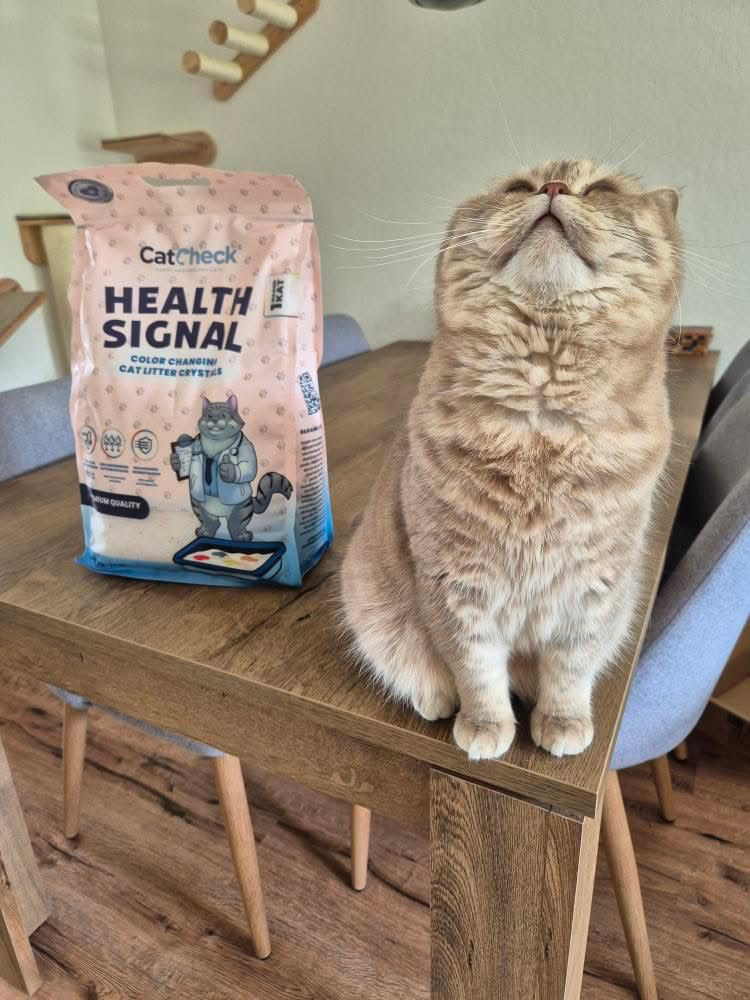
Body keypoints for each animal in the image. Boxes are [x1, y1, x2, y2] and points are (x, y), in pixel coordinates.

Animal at [170, 395, 293, 541]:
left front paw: (228, 471)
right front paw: (176, 460)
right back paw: (205, 531)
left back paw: (241, 536)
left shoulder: (247, 447)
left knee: (235, 524)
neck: (216, 442)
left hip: (242, 509)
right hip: (198, 505)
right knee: (211, 522)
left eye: (224, 415)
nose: (214, 419)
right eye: (209, 415)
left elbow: (249, 467)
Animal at [341, 159, 681, 760]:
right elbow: (476, 670)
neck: (539, 429)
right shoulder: (455, 586)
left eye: (602, 190)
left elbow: (569, 669)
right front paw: (485, 727)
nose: (553, 187)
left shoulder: (594, 591)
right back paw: (435, 700)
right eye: (520, 188)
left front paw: (563, 723)